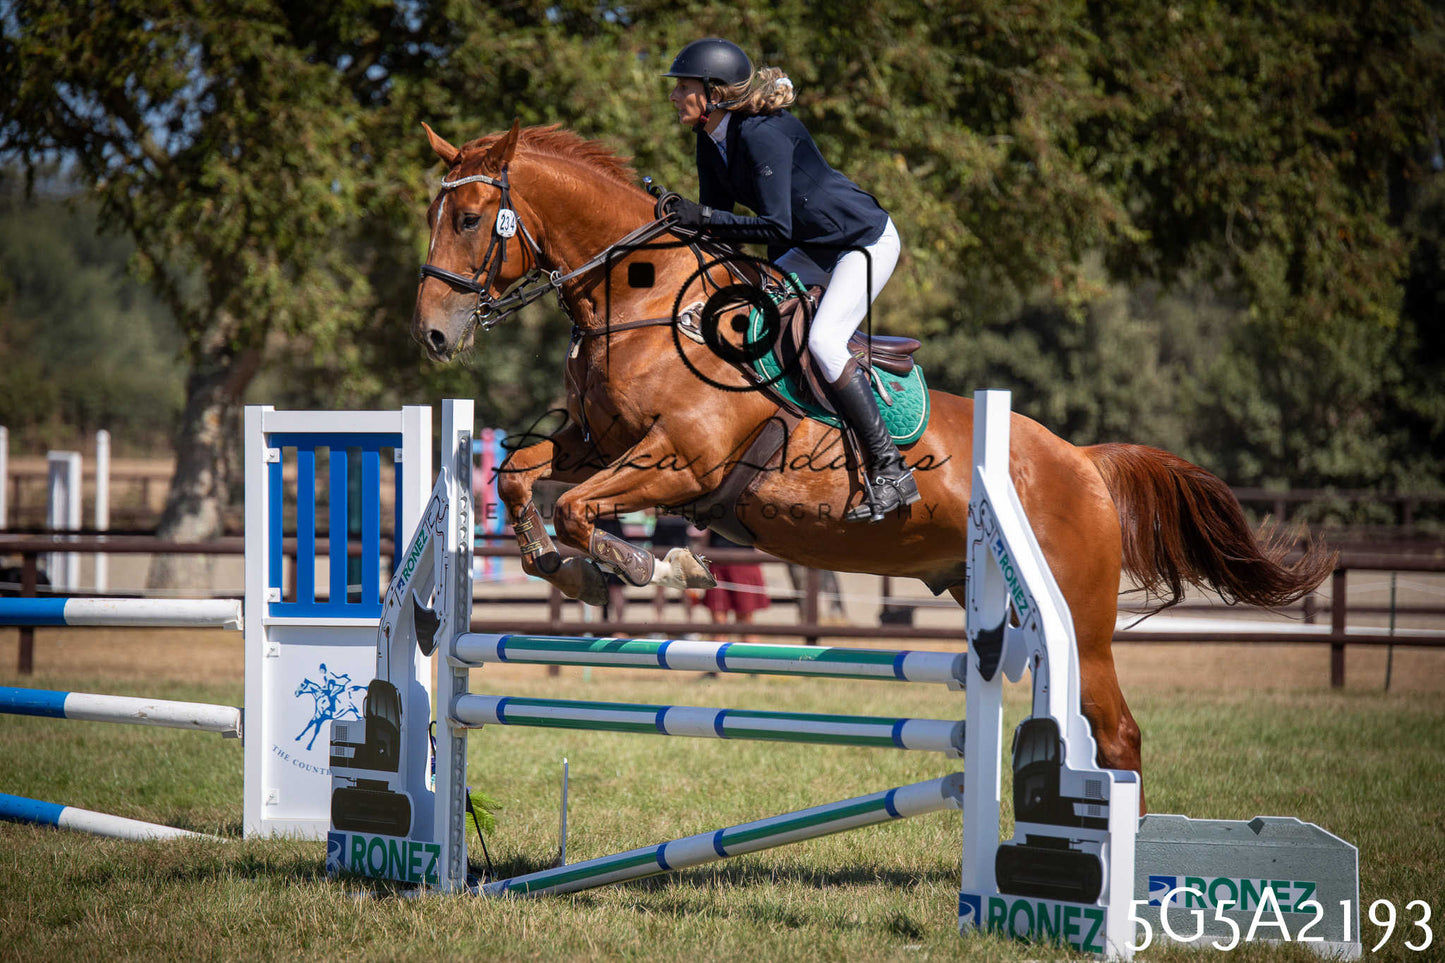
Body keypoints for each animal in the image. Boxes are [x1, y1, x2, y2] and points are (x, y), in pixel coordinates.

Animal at [410, 121, 1336, 807]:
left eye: (469, 219)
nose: (434, 337)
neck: (643, 297)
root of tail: (1080, 459)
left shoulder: (684, 459)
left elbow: (582, 507)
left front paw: (651, 565)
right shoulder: (598, 441)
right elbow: (523, 473)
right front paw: (558, 568)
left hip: (1082, 620)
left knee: (1118, 734)